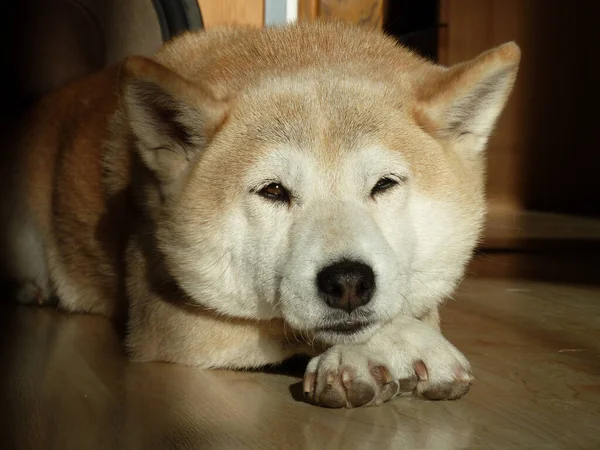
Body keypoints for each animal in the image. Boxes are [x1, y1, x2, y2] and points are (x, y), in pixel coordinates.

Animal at [0, 21, 520, 408]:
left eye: (384, 184)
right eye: (273, 190)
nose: (348, 282)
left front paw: (400, 335)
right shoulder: (163, 321)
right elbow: (283, 327)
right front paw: (384, 346)